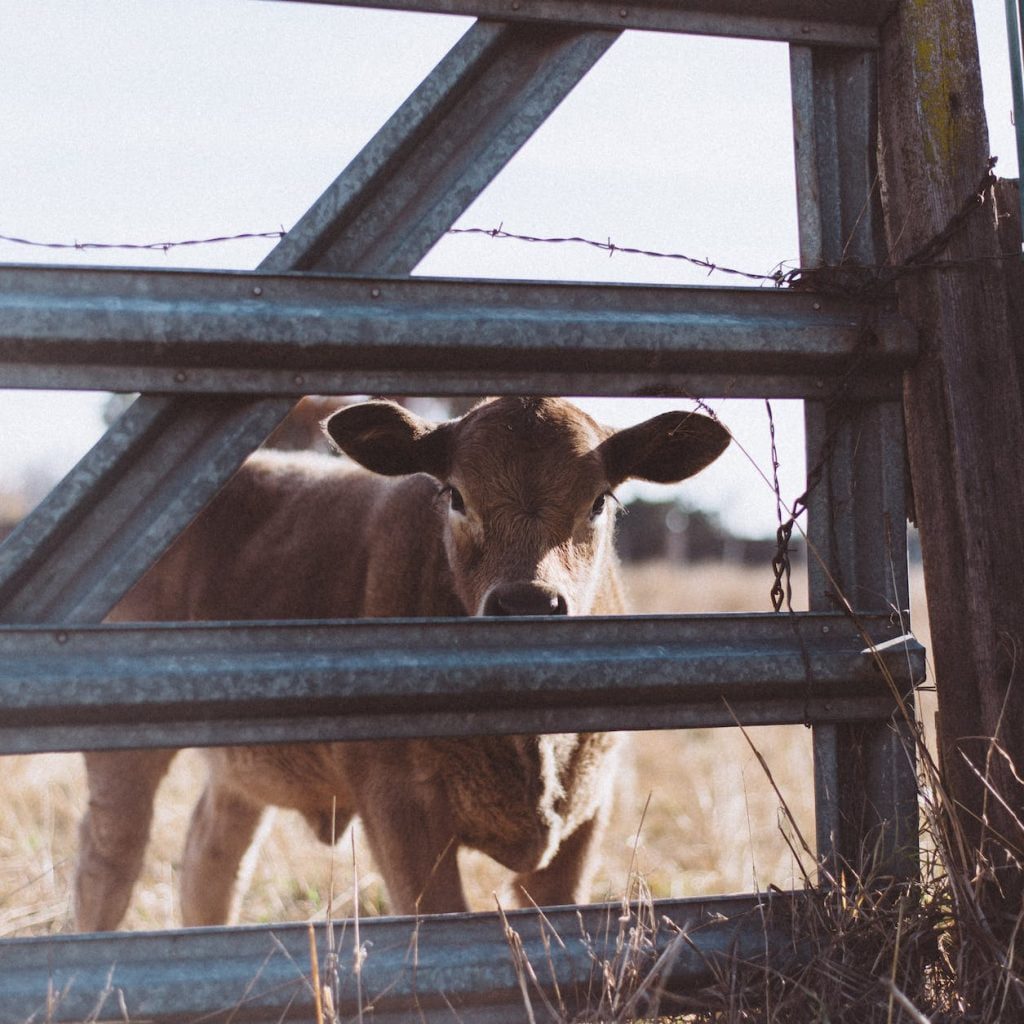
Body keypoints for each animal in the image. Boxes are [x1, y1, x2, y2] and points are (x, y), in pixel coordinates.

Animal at [74, 397, 729, 930]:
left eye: (598, 501)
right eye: (456, 496)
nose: (527, 604)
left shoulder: (585, 815)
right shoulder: (398, 809)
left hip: (241, 771)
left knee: (210, 863)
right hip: (123, 758)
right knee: (108, 863)